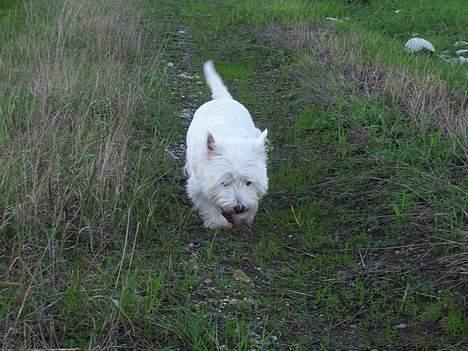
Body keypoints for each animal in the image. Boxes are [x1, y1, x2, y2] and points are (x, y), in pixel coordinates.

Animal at [186, 60, 268, 231]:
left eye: (248, 182)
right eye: (224, 183)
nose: (239, 207)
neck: (231, 139)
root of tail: (223, 99)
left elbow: (253, 201)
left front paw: (242, 218)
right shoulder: (198, 185)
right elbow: (207, 203)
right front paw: (218, 223)